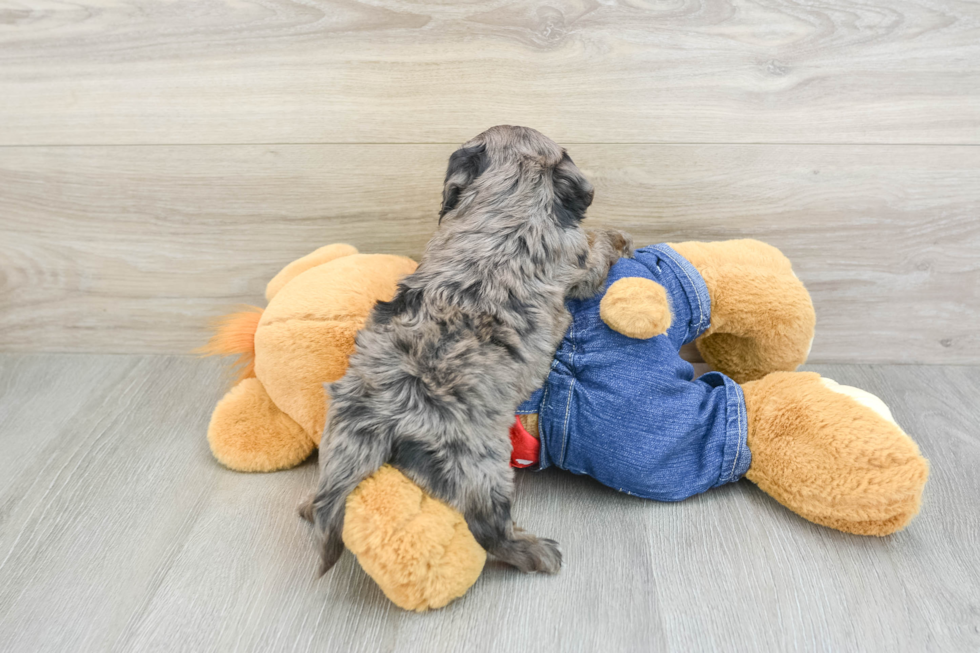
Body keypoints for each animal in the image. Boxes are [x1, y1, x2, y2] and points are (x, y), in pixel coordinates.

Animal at [306, 125, 640, 572]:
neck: (509, 197)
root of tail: (381, 413)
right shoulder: (578, 261)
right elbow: (596, 246)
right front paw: (619, 238)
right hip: (480, 462)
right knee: (489, 528)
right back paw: (535, 552)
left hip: (340, 440)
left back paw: (309, 506)